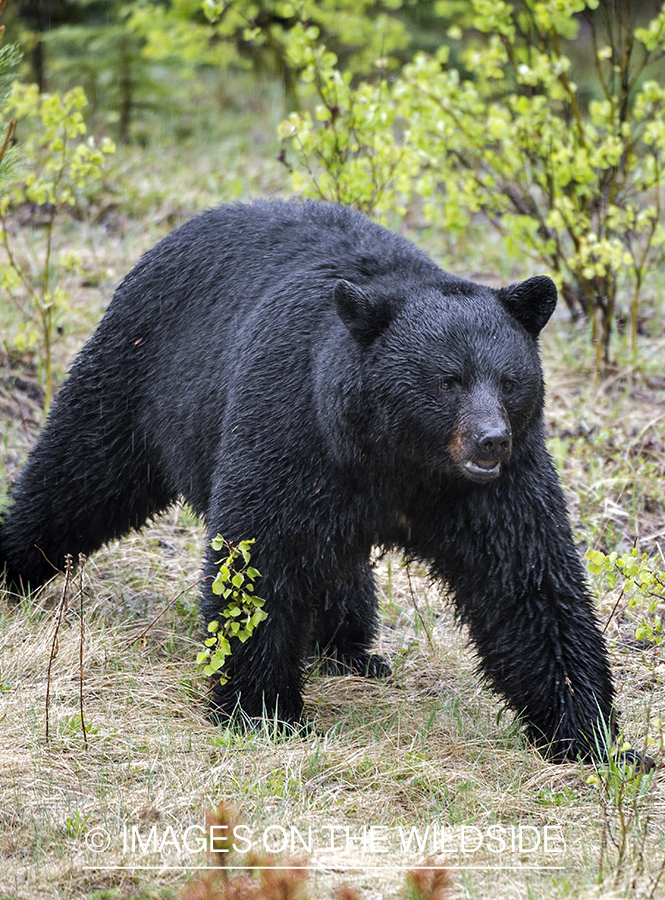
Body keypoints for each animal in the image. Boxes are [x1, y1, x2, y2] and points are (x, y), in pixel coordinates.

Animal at [0, 199, 616, 760]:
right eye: (448, 381)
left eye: (510, 380)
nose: (491, 440)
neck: (400, 460)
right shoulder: (294, 430)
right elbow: (260, 560)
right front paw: (262, 710)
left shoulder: (495, 488)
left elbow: (527, 583)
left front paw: (591, 736)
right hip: (139, 374)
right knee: (78, 475)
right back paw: (16, 569)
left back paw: (351, 650)